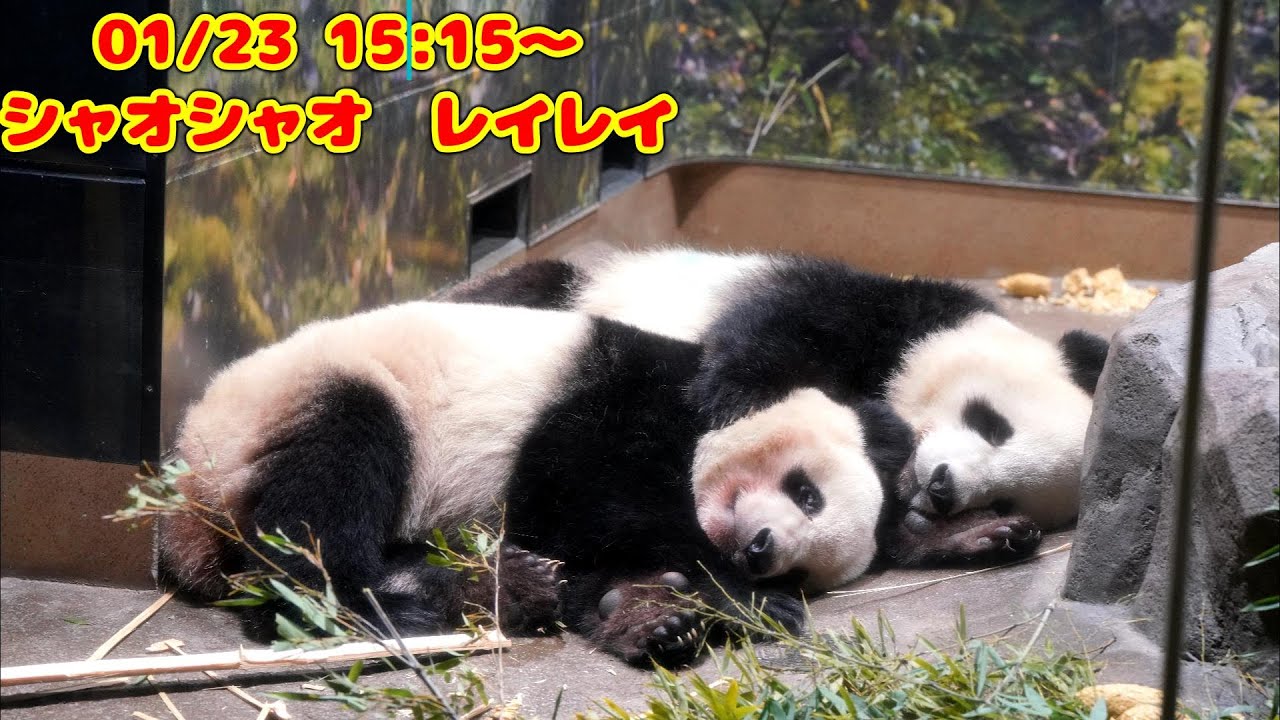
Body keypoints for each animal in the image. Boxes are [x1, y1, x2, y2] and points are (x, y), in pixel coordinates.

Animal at [162, 300, 941, 667]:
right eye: (807, 491)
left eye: (805, 567)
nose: (761, 551)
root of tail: (189, 490)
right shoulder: (624, 397)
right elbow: (587, 497)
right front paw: (741, 601)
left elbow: (600, 562)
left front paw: (651, 615)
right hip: (315, 398)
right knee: (323, 499)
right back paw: (408, 601)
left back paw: (491, 585)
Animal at [444, 248, 1112, 534]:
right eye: (992, 423)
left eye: (1005, 500)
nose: (945, 489)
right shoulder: (892, 312)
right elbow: (779, 327)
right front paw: (733, 400)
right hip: (574, 288)